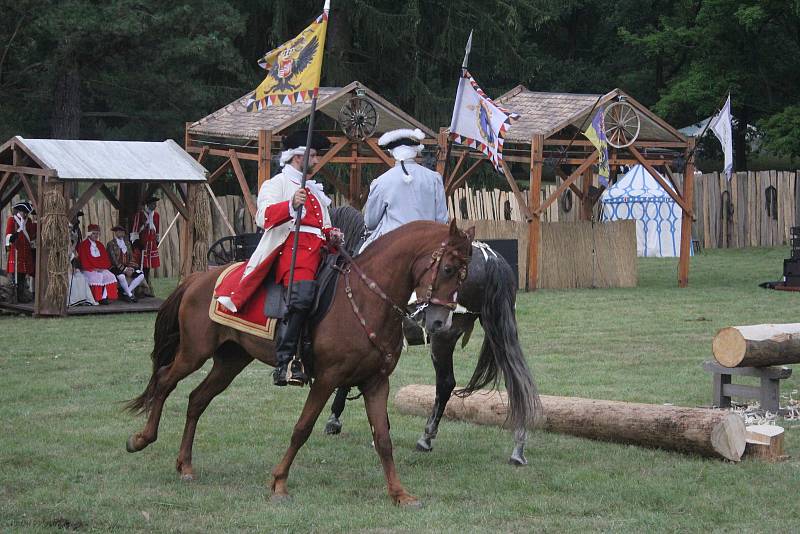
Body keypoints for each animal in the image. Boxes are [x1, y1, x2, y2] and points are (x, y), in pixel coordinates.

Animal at [126, 221, 476, 506]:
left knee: (196, 399)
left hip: (230, 361)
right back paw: (141, 439)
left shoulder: (376, 382)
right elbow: (302, 429)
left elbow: (383, 439)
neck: (365, 299)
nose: (441, 323)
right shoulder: (326, 380)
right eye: (447, 269)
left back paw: (185, 465)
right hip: (193, 353)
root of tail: (199, 277)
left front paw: (400, 494)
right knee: (164, 381)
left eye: (465, 274)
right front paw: (279, 483)